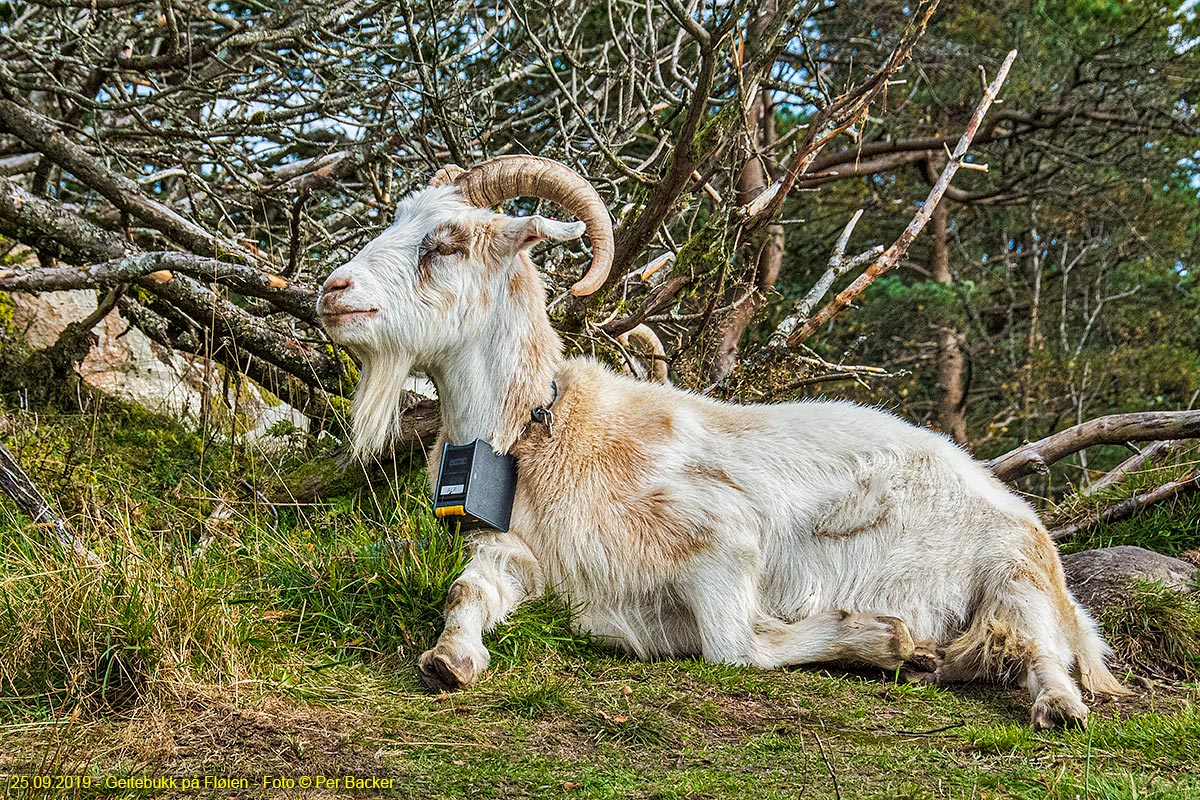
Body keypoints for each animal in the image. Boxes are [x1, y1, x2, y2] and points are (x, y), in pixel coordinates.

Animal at [319, 153, 1123, 729]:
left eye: (446, 242)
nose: (332, 291)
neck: (547, 431)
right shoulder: (523, 553)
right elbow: (473, 591)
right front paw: (450, 659)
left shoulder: (725, 536)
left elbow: (738, 647)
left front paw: (879, 637)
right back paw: (944, 659)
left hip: (1014, 570)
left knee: (1044, 651)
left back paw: (1055, 704)